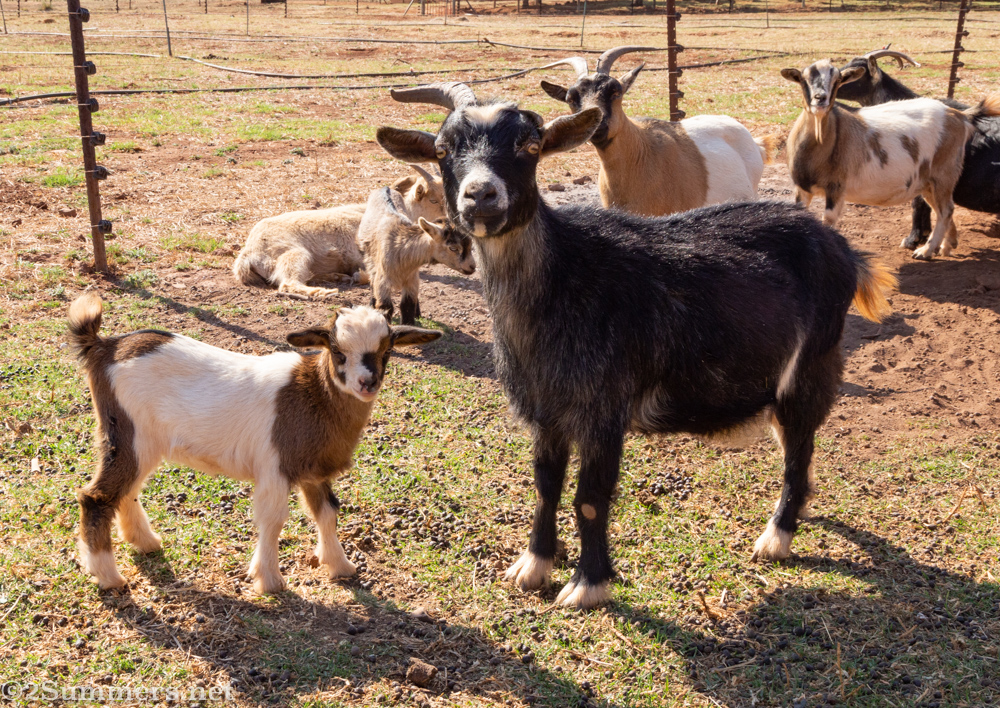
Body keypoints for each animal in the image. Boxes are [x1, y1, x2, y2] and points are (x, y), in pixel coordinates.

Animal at [68, 292, 440, 593]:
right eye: (337, 350)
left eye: (387, 350)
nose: (366, 383)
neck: (314, 393)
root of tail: (104, 347)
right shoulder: (275, 467)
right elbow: (273, 519)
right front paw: (270, 581)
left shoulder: (313, 469)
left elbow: (327, 512)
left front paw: (340, 565)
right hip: (127, 432)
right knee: (97, 497)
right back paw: (108, 576)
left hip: (141, 442)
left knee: (127, 490)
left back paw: (144, 542)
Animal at [232, 165, 445, 299]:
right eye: (433, 200)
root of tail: (247, 255)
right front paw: (358, 276)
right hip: (293, 253)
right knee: (287, 283)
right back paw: (325, 292)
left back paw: (336, 278)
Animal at [357, 186, 476, 325]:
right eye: (453, 248)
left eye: (471, 245)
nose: (472, 266)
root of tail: (385, 188)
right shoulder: (383, 279)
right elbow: (386, 307)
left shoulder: (412, 278)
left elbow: (407, 305)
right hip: (368, 258)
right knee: (372, 278)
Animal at [376, 81, 895, 609]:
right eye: (443, 149)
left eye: (531, 145)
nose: (481, 195)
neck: (565, 277)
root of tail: (844, 250)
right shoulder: (546, 411)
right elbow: (545, 486)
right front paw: (533, 565)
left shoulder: (604, 409)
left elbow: (589, 497)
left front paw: (588, 584)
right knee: (793, 444)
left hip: (812, 364)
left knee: (800, 447)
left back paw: (777, 536)